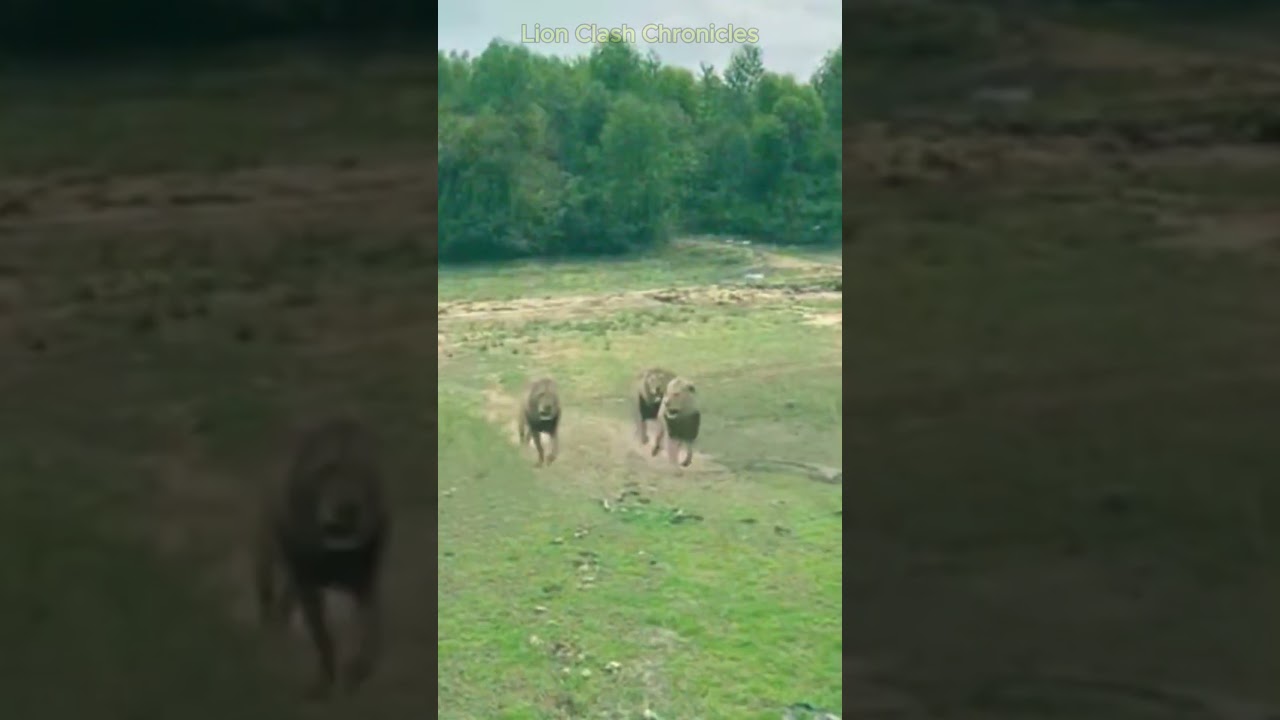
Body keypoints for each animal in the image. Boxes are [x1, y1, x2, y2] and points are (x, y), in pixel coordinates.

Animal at [252, 416, 391, 699]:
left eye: (361, 472)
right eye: (325, 471)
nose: (346, 509)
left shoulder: (365, 581)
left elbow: (368, 628)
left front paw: (357, 669)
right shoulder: (307, 583)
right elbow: (323, 637)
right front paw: (325, 681)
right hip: (265, 547)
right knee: (267, 591)